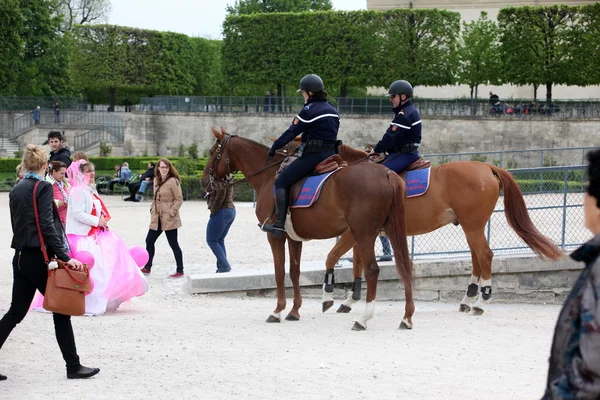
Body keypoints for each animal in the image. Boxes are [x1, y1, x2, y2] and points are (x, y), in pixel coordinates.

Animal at [199, 129, 414, 332]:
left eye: (212, 152)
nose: (204, 181)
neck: (269, 176)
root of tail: (386, 172)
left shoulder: (274, 236)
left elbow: (279, 272)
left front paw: (278, 311)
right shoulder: (294, 238)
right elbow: (295, 271)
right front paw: (294, 310)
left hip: (364, 235)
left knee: (372, 270)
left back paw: (363, 319)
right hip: (387, 231)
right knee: (405, 266)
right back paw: (407, 317)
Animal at [316, 144, 564, 316]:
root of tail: (487, 166)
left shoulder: (355, 233)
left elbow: (340, 258)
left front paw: (340, 297)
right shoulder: (361, 233)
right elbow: (357, 263)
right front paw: (350, 299)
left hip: (473, 226)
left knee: (485, 255)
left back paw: (481, 302)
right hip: (470, 226)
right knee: (476, 257)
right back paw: (468, 299)